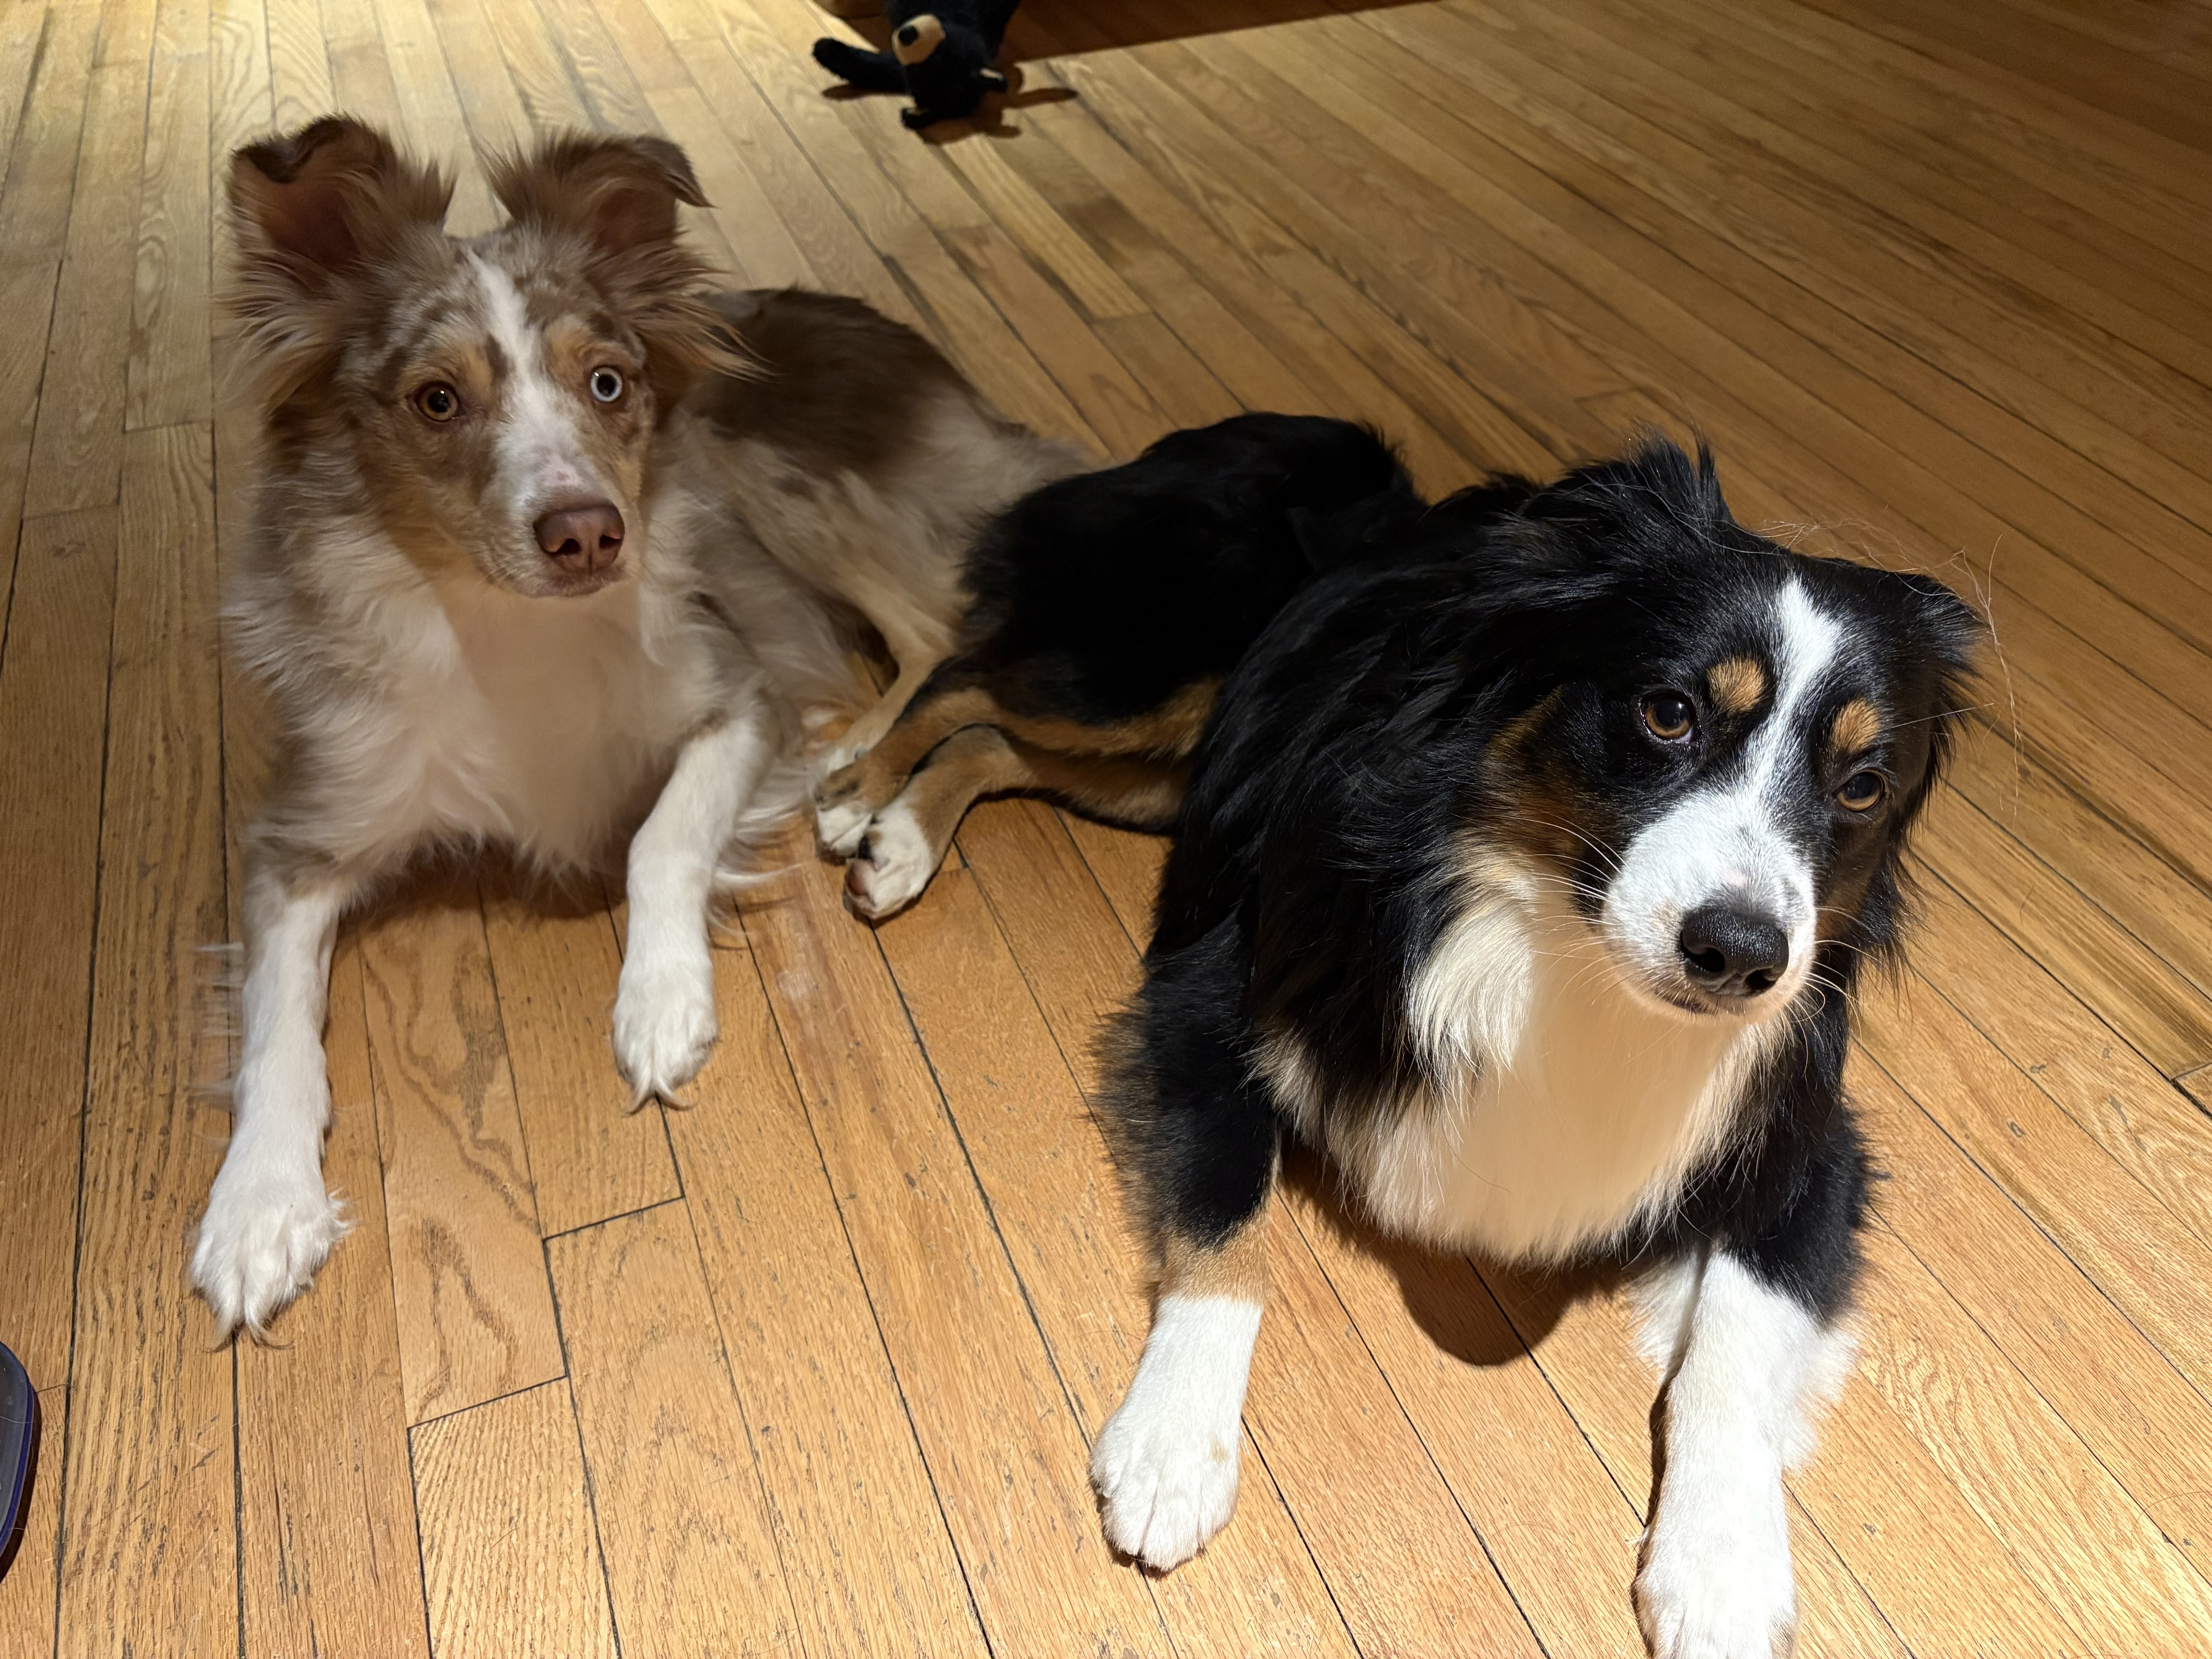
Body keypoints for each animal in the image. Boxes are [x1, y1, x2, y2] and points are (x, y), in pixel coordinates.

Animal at [196, 115, 1074, 1336]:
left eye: (607, 382)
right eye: (436, 401)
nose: (589, 533)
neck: (503, 623)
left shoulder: (739, 690)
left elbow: (661, 838)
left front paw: (662, 998)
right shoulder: (302, 836)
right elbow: (276, 1021)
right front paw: (259, 1205)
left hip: (749, 466)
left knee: (937, 620)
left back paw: (859, 761)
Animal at [813, 412, 1417, 918]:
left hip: (1170, 770)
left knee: (988, 740)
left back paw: (900, 846)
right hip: (1161, 679)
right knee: (958, 680)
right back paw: (856, 795)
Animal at [1086, 439, 1978, 1659]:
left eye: (1862, 785)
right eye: (1668, 713)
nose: (1741, 954)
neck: (1559, 951)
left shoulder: (1809, 1136)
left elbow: (1734, 1348)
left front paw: (1723, 1565)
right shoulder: (1209, 1000)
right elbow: (1228, 1220)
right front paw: (1175, 1443)